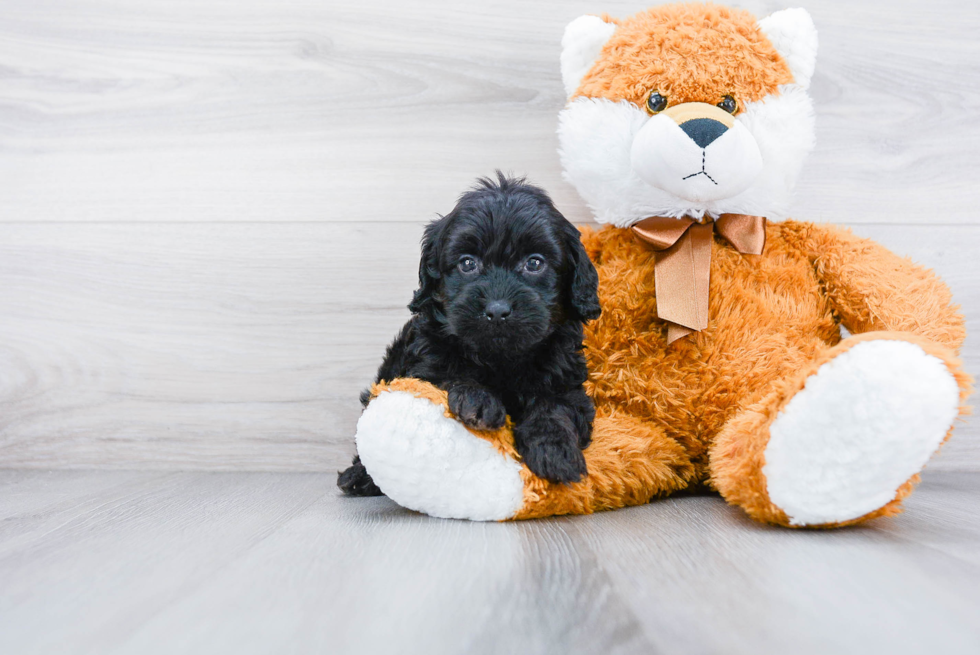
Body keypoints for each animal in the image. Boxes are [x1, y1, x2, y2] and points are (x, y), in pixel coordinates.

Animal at [340, 174, 600, 498]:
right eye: (467, 263)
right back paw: (358, 477)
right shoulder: (424, 363)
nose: (497, 310)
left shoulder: (569, 382)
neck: (501, 358)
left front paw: (556, 450)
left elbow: (555, 406)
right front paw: (477, 400)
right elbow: (448, 374)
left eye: (534, 263)